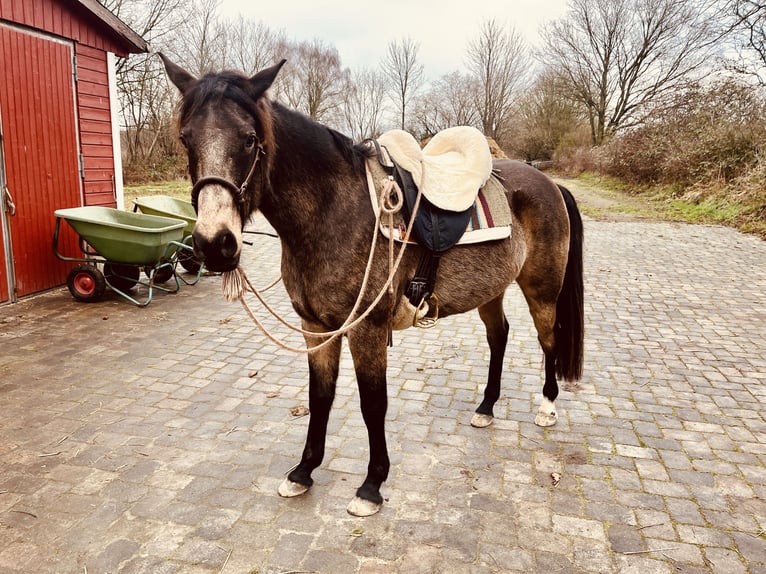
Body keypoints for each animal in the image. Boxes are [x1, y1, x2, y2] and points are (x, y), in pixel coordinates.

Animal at [160, 55, 584, 517]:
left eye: (250, 138)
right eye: (185, 139)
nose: (214, 243)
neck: (333, 211)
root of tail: (549, 184)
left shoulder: (367, 329)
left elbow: (372, 403)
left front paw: (372, 484)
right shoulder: (316, 328)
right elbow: (320, 396)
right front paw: (303, 472)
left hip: (542, 289)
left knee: (548, 338)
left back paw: (547, 406)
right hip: (491, 290)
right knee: (499, 336)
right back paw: (487, 407)